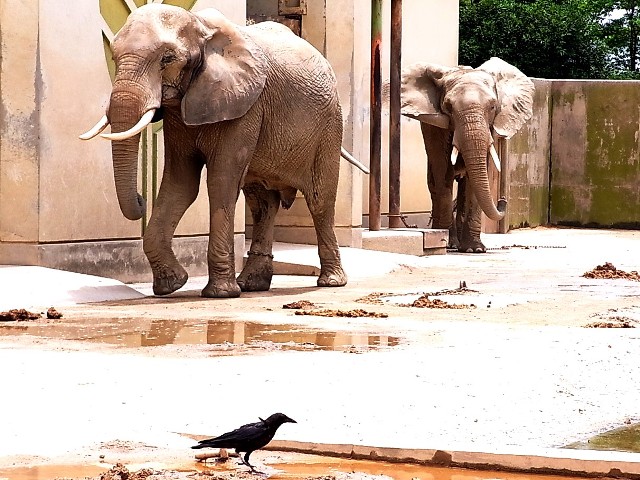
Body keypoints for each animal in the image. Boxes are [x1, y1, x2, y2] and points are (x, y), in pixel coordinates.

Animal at [80, 4, 360, 296]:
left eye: (167, 58)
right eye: (114, 56)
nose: (140, 198)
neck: (202, 27)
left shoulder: (246, 106)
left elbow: (221, 182)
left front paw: (220, 293)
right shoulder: (181, 112)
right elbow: (180, 184)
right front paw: (172, 284)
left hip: (330, 125)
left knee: (320, 200)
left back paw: (330, 281)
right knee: (262, 203)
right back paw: (252, 285)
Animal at [400, 58, 536, 253]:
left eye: (493, 106)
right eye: (448, 107)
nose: (503, 200)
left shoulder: (489, 129)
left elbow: (476, 179)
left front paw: (475, 250)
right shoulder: (437, 129)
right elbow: (443, 174)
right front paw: (445, 243)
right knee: (435, 183)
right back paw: (449, 241)